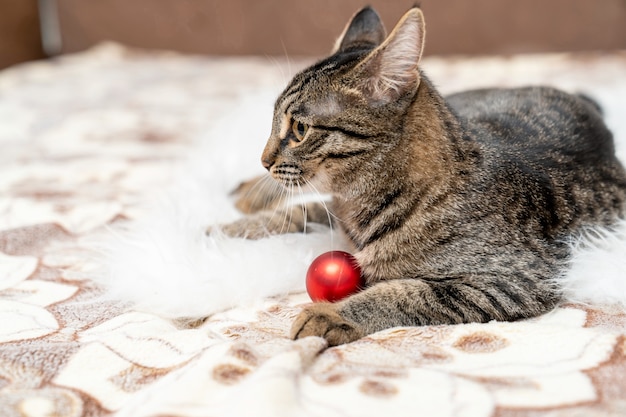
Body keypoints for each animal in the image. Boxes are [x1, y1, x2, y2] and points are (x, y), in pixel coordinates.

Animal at [213, 6, 624, 346]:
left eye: (299, 129)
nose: (264, 159)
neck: (358, 203)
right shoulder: (334, 210)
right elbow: (296, 211)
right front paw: (222, 232)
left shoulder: (514, 280)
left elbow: (403, 293)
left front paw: (331, 315)